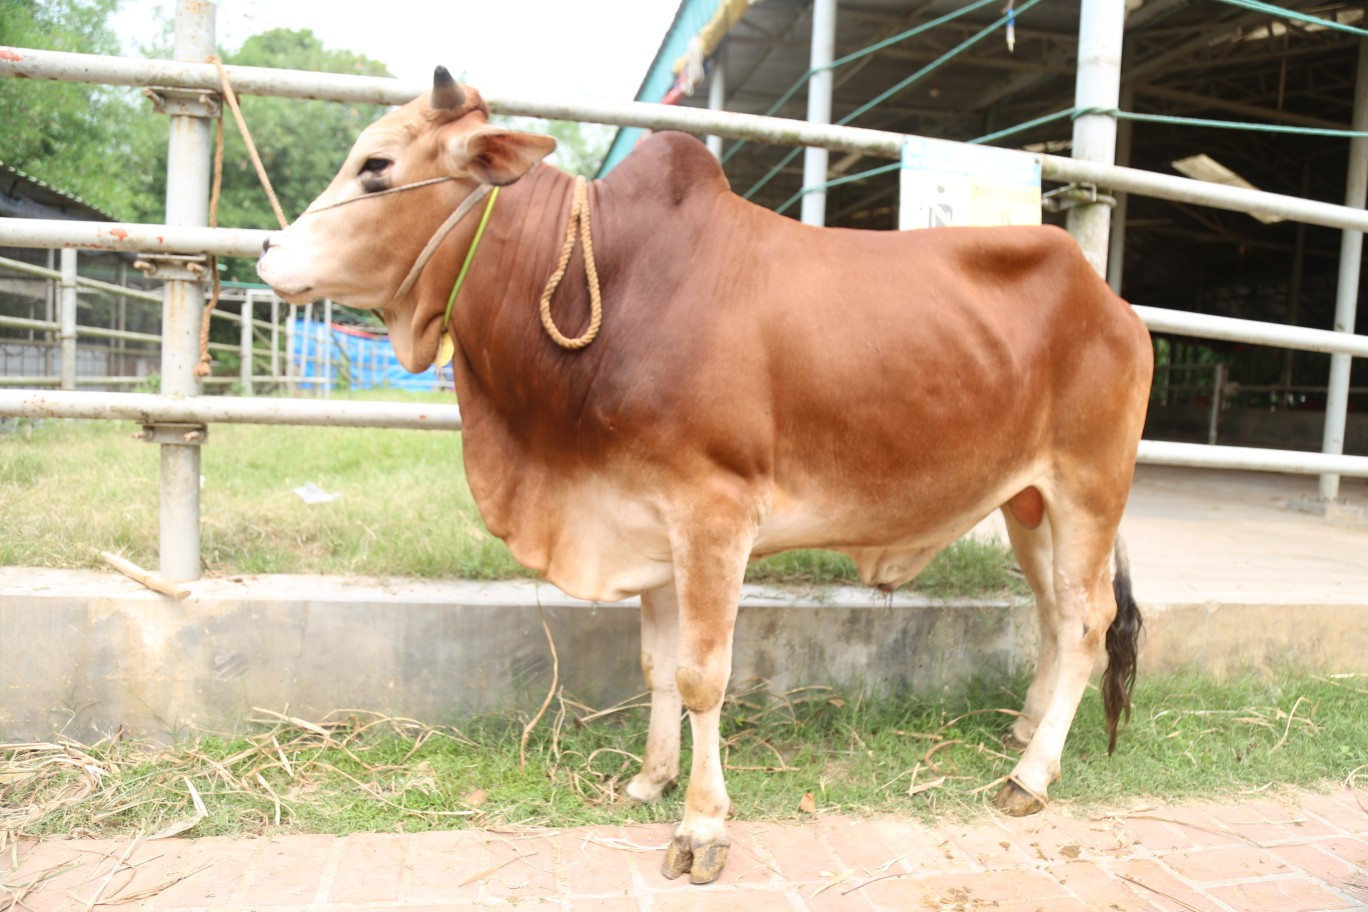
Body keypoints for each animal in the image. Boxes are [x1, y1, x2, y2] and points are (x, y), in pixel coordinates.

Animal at [258, 68, 1153, 885]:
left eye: (376, 166)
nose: (266, 251)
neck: (607, 288)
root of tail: (1113, 302)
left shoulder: (713, 513)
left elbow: (701, 676)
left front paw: (701, 826)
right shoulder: (643, 515)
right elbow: (658, 666)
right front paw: (650, 779)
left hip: (1090, 487)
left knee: (1087, 621)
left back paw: (1029, 777)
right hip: (1027, 503)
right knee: (1052, 614)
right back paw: (1026, 733)